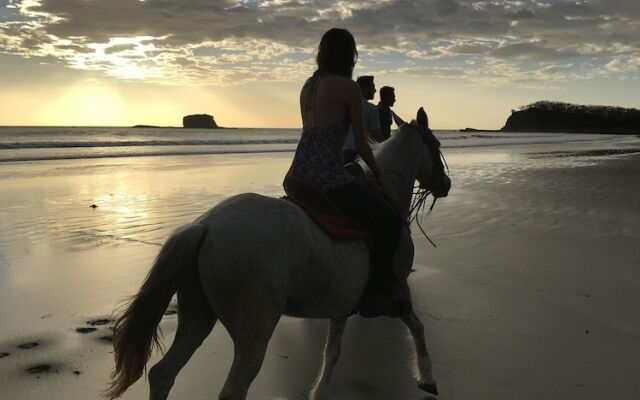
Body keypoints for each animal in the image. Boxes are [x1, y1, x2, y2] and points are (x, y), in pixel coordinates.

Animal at [106, 108, 450, 400]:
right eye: (436, 145)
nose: (445, 184)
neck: (386, 195)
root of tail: (205, 226)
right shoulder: (398, 286)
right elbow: (417, 326)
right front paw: (427, 377)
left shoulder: (342, 302)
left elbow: (332, 353)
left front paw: (318, 393)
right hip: (253, 331)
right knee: (231, 389)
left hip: (197, 316)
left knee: (163, 374)